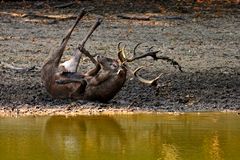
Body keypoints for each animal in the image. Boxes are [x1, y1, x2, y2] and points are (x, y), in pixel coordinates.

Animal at [40, 9, 182, 102]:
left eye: (114, 64)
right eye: (112, 59)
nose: (100, 56)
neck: (96, 87)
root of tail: (63, 65)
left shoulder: (76, 95)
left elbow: (82, 81)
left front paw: (61, 80)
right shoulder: (87, 74)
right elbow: (92, 71)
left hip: (52, 61)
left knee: (64, 38)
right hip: (69, 63)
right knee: (74, 44)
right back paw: (92, 19)